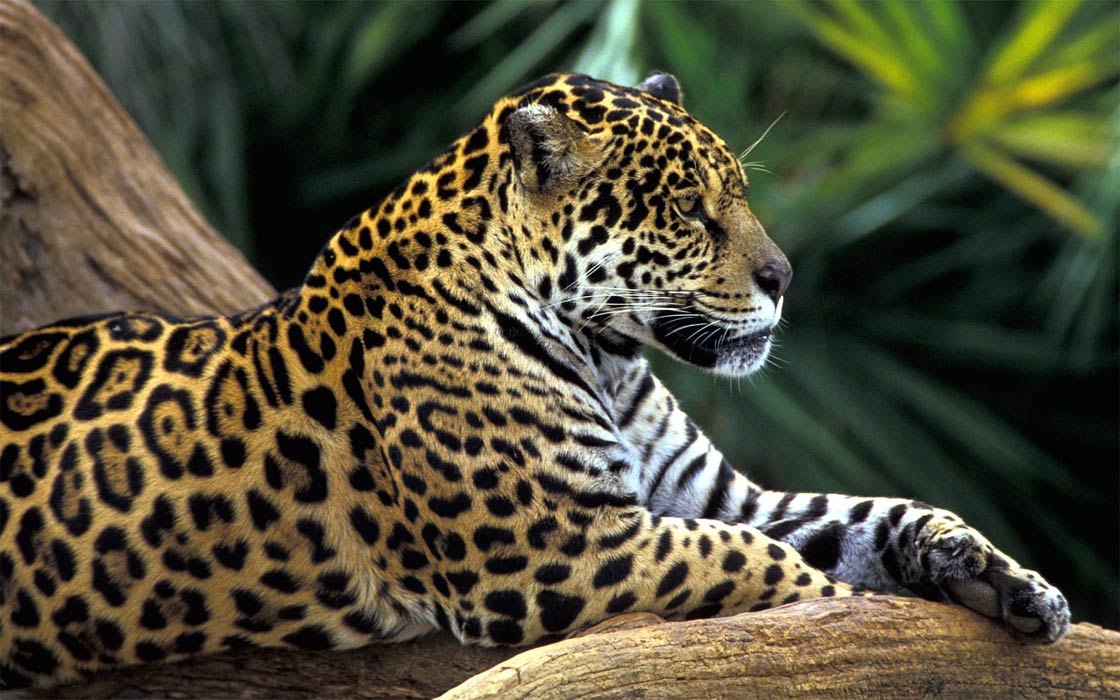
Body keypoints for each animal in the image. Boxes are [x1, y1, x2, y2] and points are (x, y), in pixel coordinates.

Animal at [0, 72, 1070, 689]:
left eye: (740, 193)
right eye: (690, 209)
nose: (785, 277)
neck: (609, 351)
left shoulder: (711, 495)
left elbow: (875, 515)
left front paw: (1009, 582)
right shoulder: (553, 549)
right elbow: (754, 563)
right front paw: (833, 608)